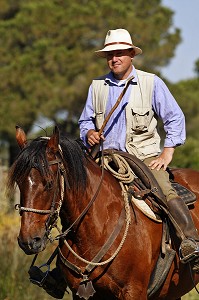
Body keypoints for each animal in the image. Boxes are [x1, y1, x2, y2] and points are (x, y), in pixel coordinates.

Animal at [8, 126, 199, 300]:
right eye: (19, 182)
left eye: (48, 183)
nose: (28, 241)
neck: (97, 228)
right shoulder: (81, 293)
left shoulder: (134, 292)